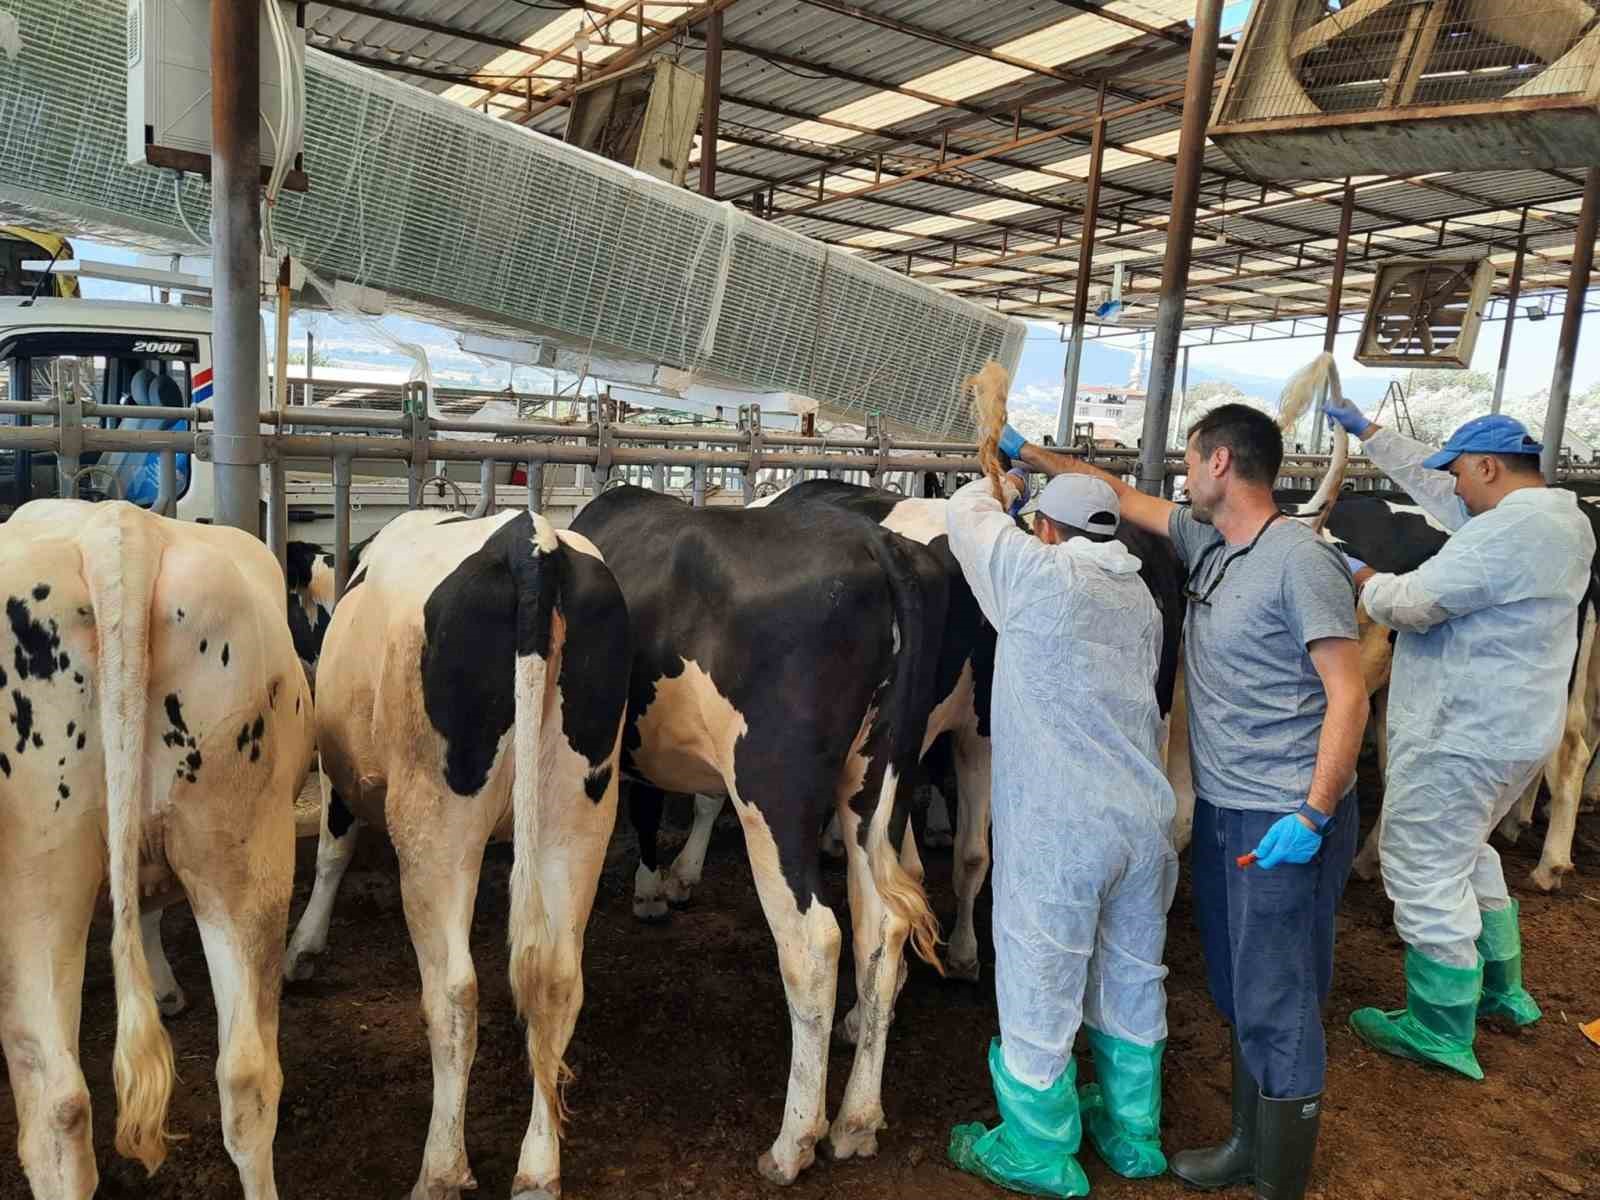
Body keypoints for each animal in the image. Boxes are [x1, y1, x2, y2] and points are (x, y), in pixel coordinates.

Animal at [284, 508, 633, 1200]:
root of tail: (531, 541)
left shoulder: (339, 768)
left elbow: (333, 850)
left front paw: (303, 949)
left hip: (435, 822)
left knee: (453, 992)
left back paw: (441, 1168)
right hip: (578, 813)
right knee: (557, 980)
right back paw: (538, 1168)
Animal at [572, 486, 947, 1184]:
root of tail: (875, 543)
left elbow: (644, 810)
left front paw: (651, 891)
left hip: (772, 791)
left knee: (814, 942)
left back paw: (793, 1142)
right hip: (880, 781)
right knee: (881, 929)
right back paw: (856, 1121)